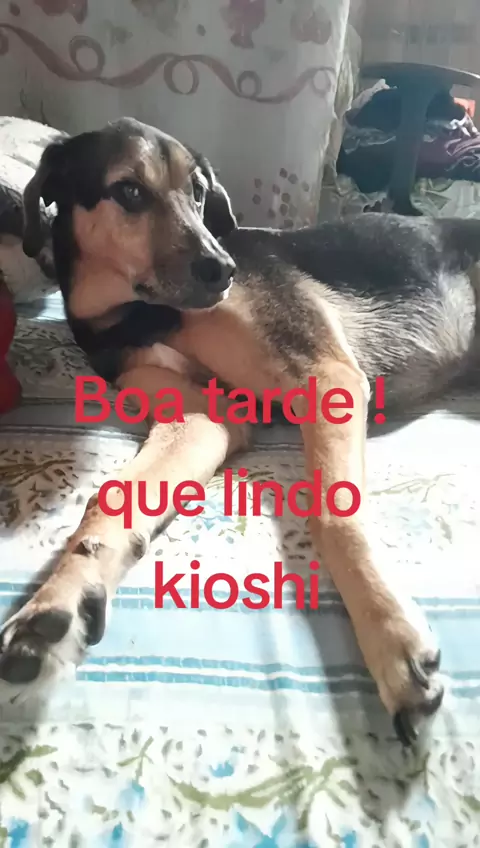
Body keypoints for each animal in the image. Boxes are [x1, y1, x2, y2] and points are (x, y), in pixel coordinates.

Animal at [2, 116, 480, 747]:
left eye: (200, 193)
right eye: (128, 190)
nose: (222, 271)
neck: (136, 314)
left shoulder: (328, 377)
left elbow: (334, 517)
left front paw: (392, 639)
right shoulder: (201, 422)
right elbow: (110, 499)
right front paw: (57, 606)